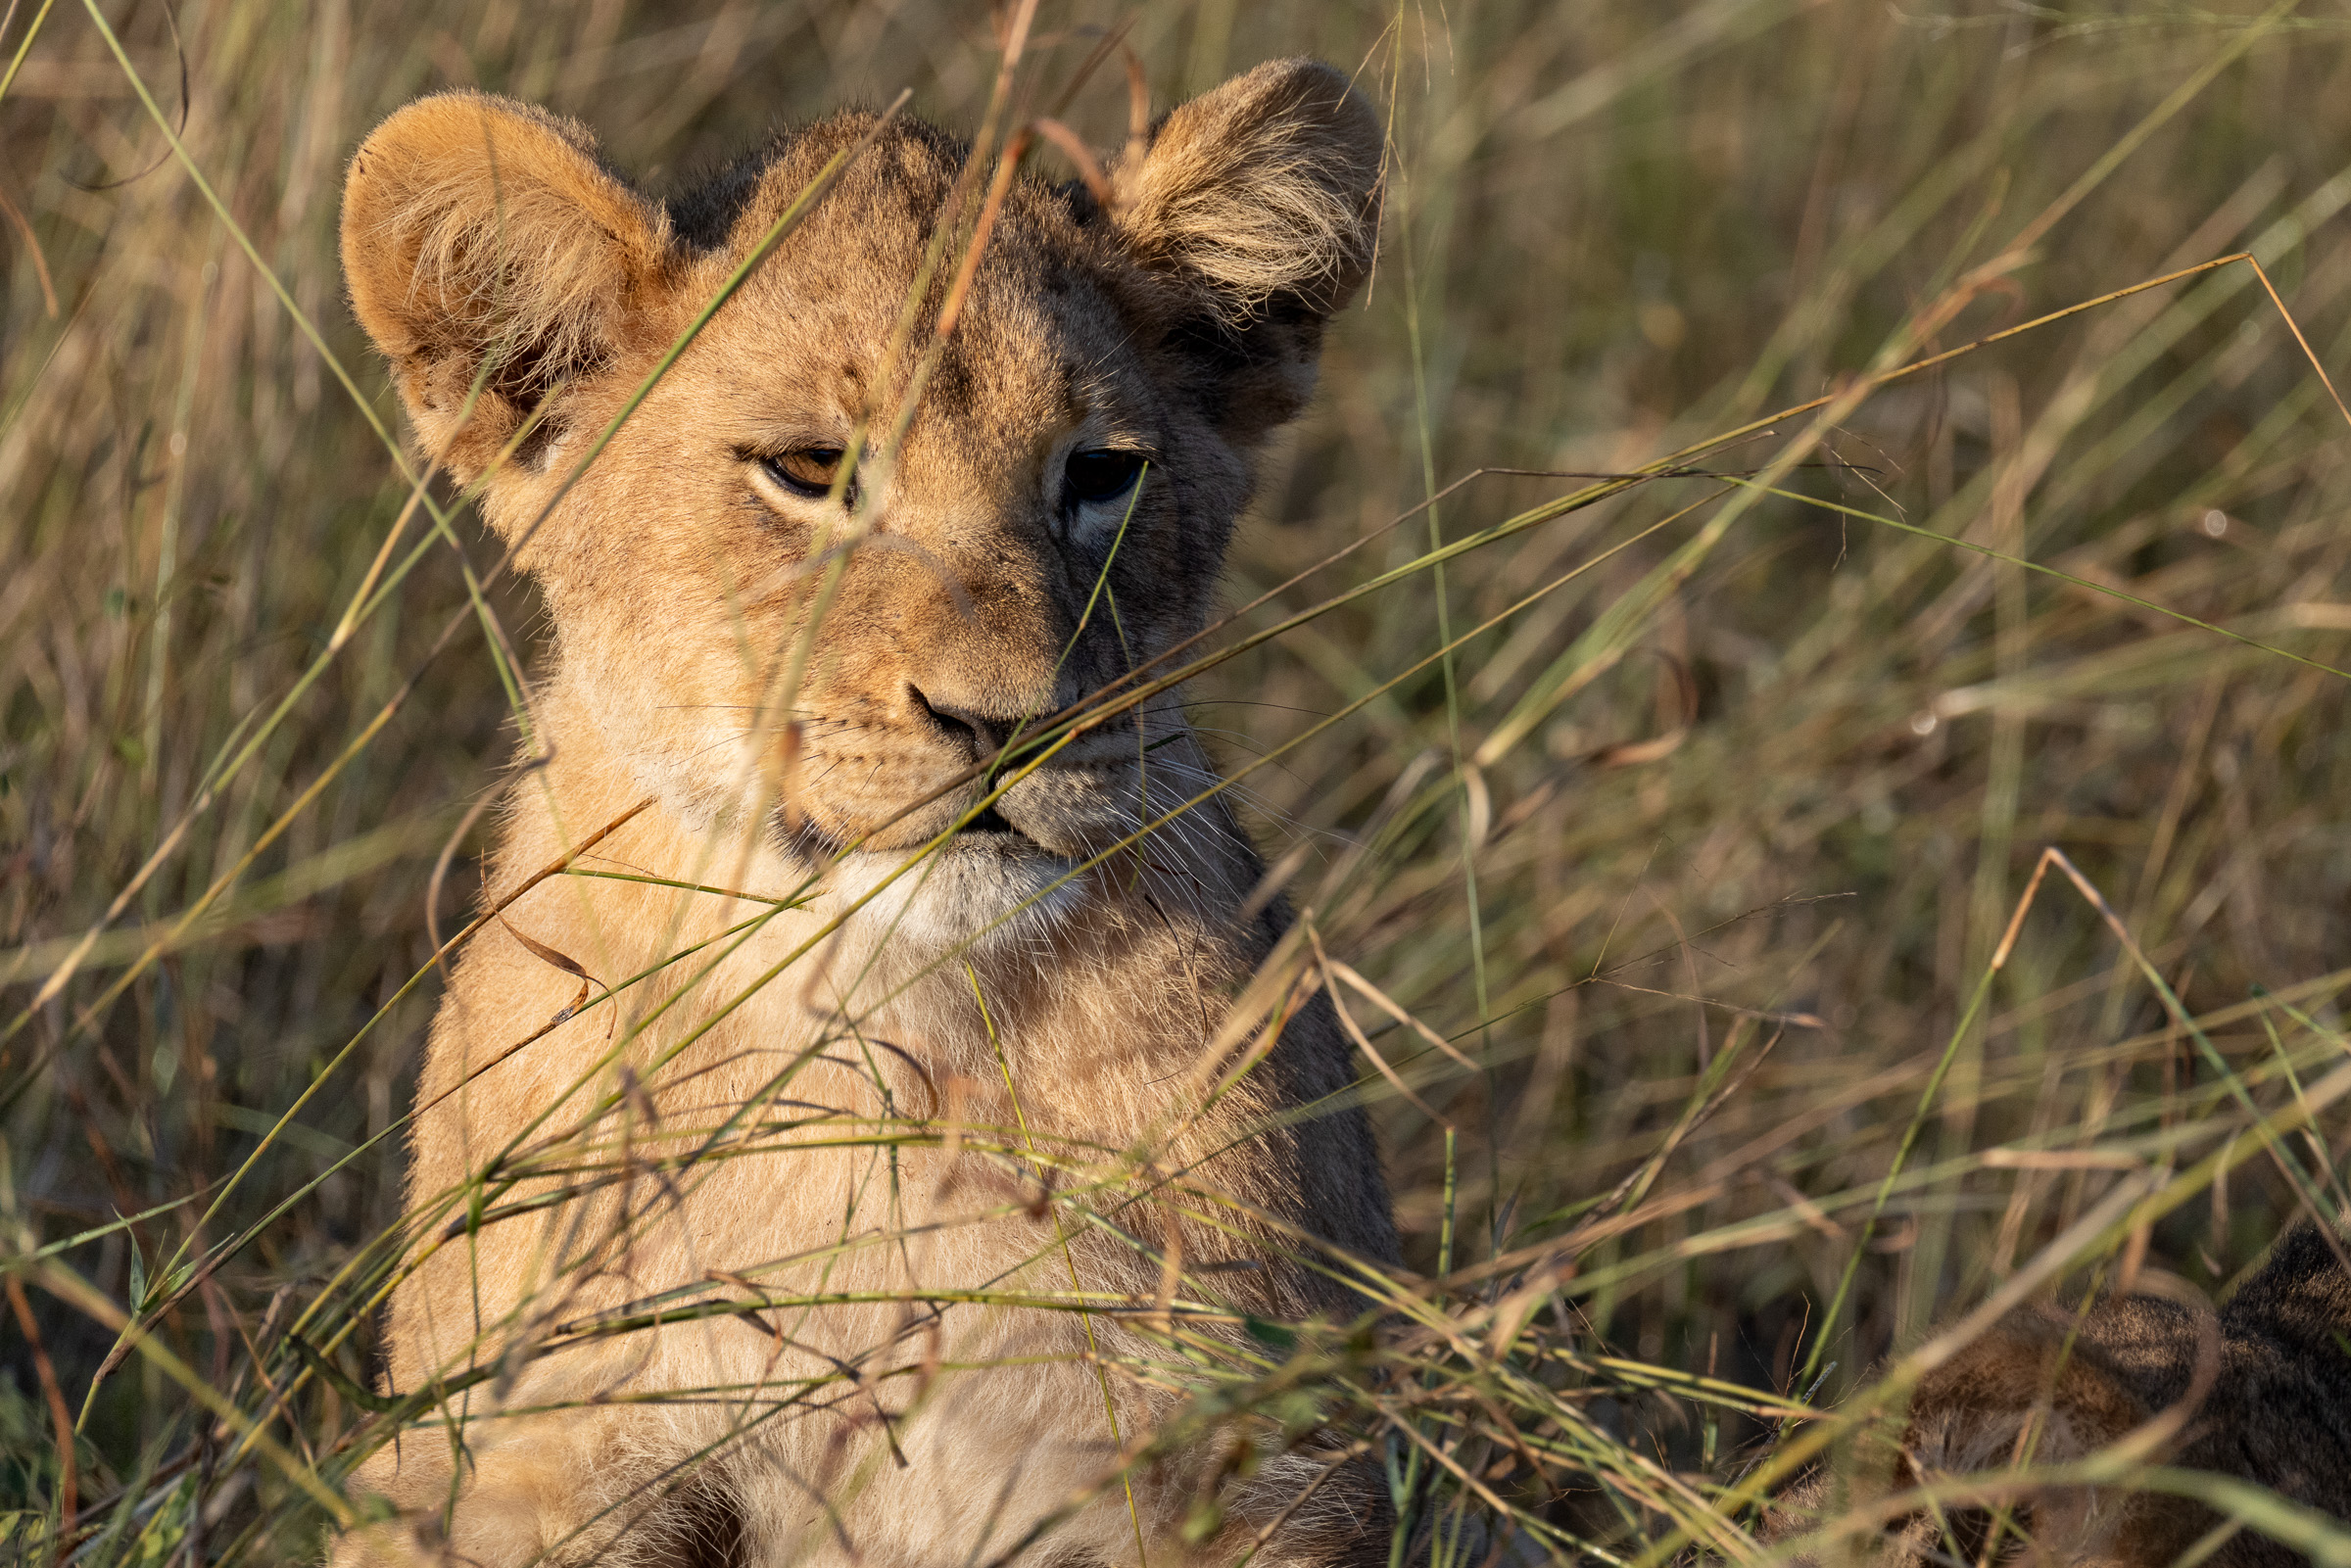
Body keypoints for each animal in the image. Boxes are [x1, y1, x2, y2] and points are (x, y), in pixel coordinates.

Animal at [334, 58, 1399, 1568]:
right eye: (808, 470)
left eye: (1102, 473)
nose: (1007, 722)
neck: (878, 1037)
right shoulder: (529, 1456)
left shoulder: (1251, 1467)